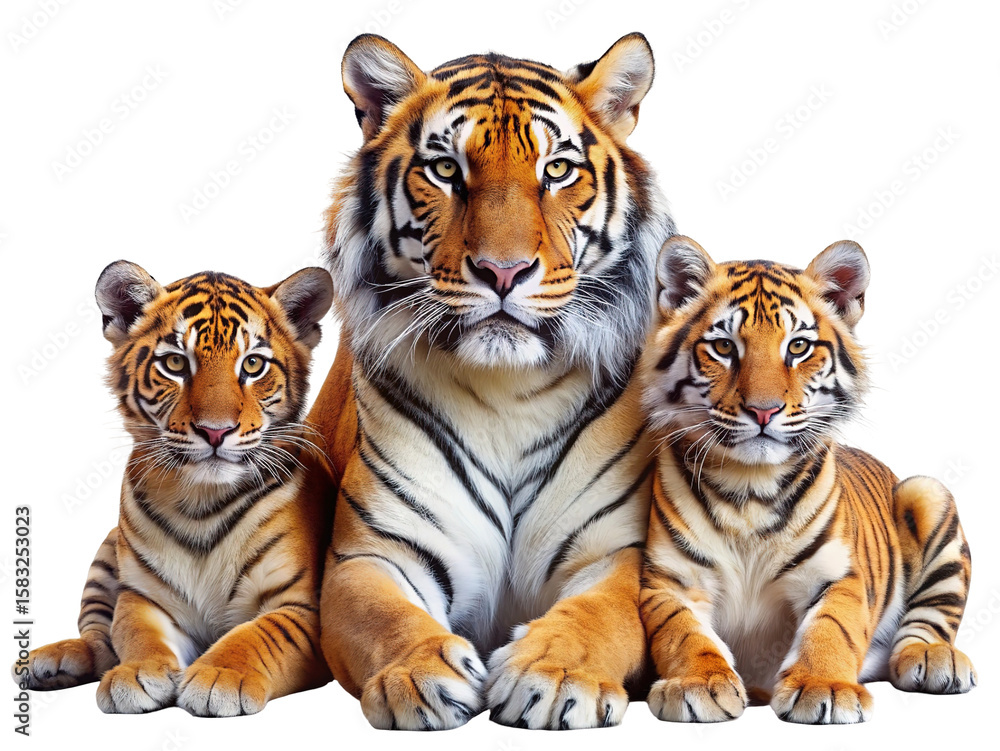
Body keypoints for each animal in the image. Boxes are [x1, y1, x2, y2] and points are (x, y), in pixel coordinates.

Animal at [12, 261, 335, 716]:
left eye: (253, 364)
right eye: (176, 364)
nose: (215, 431)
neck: (201, 500)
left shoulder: (302, 605)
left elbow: (259, 636)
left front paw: (221, 677)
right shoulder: (144, 597)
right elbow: (134, 633)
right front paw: (136, 674)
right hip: (106, 554)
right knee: (98, 636)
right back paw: (51, 661)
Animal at [308, 32, 675, 729]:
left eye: (556, 170)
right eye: (446, 170)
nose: (503, 271)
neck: (510, 393)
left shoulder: (614, 551)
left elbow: (597, 616)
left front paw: (555, 677)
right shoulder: (371, 555)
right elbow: (384, 617)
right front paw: (418, 675)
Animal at [638, 235, 976, 724]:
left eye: (797, 346)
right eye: (723, 347)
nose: (763, 411)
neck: (749, 486)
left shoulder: (838, 576)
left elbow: (831, 629)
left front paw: (824, 687)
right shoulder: (670, 581)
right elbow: (681, 632)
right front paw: (698, 684)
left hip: (927, 490)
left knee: (932, 618)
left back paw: (934, 659)